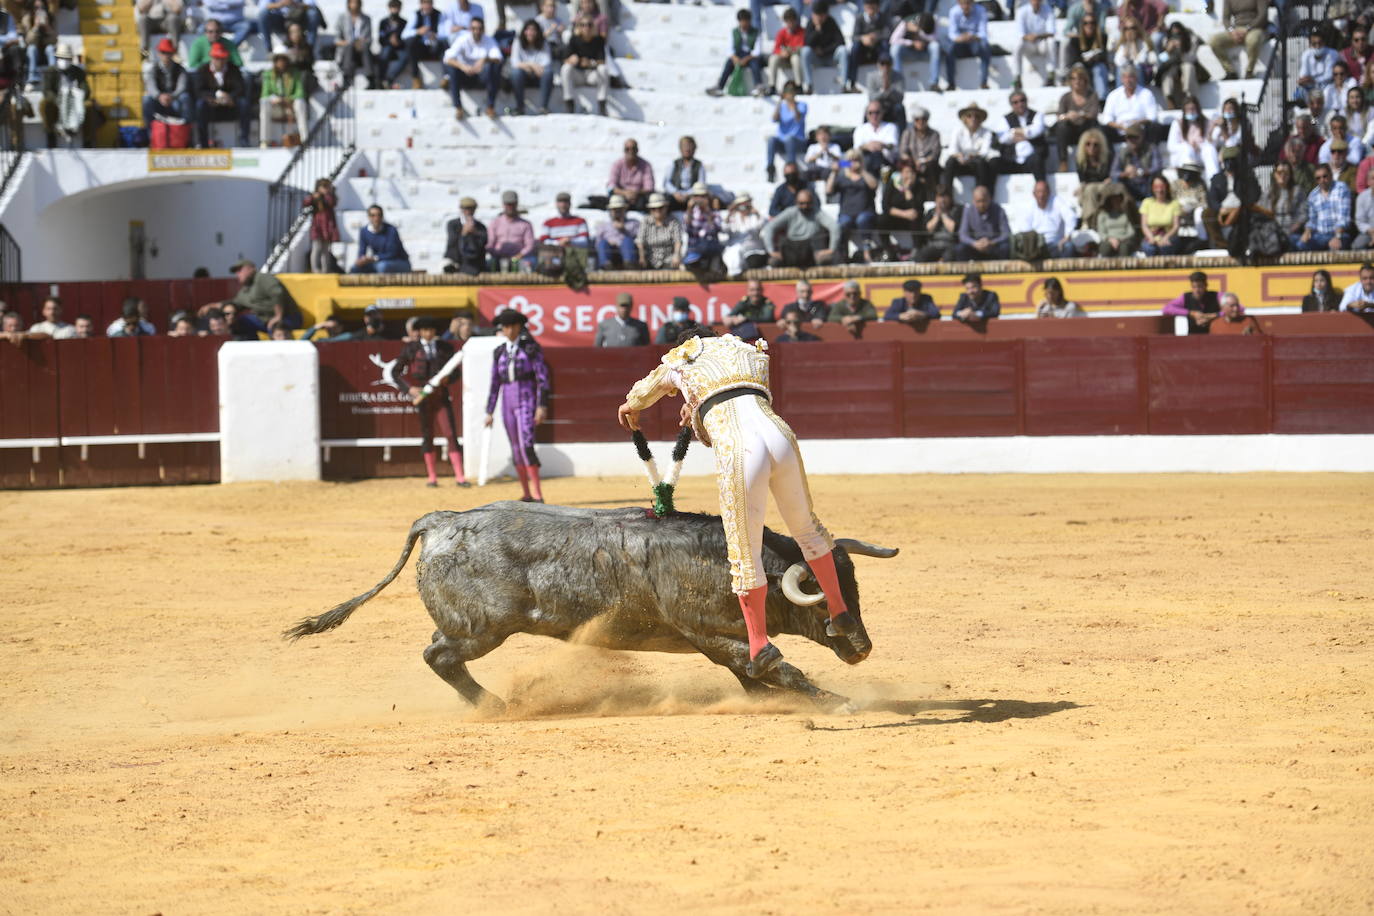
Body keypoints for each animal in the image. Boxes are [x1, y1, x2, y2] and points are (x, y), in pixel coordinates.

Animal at [284, 502, 895, 708]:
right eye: (822, 600)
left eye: (855, 588)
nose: (863, 648)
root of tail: (440, 520)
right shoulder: (709, 632)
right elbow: (772, 666)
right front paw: (836, 700)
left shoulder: (719, 641)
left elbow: (753, 671)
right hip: (481, 630)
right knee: (439, 657)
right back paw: (496, 706)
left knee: (438, 653)